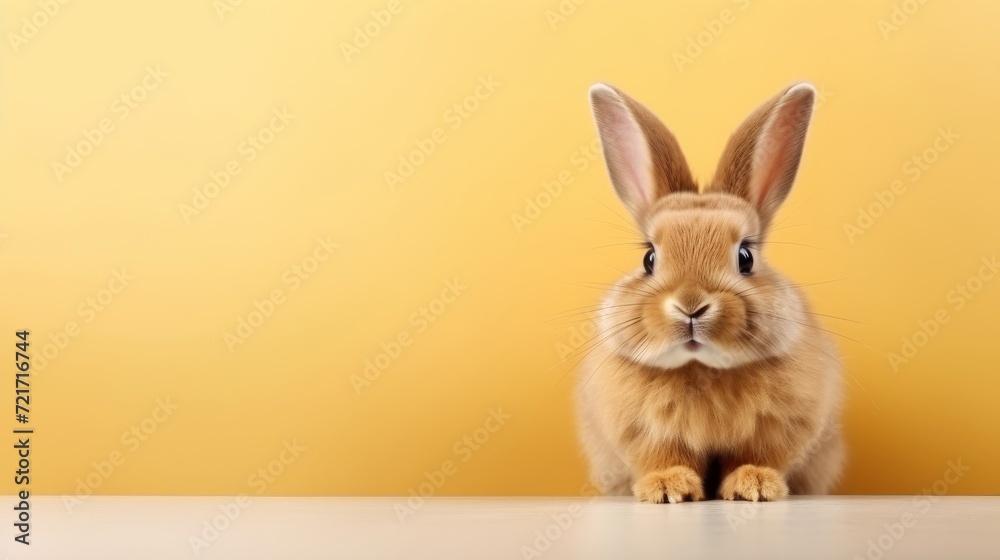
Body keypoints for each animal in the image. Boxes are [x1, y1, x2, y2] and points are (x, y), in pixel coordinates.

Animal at [575, 82, 845, 503]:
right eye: (649, 258)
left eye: (746, 257)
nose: (691, 306)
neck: (700, 368)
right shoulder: (647, 433)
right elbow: (665, 457)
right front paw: (668, 488)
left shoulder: (778, 427)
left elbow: (757, 456)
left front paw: (756, 485)